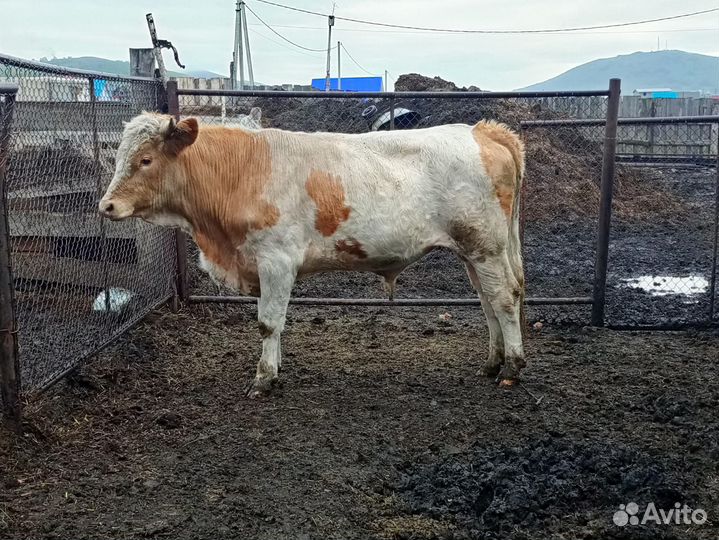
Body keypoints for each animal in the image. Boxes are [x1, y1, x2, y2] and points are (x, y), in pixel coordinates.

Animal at [99, 112, 526, 397]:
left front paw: (264, 378)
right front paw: (277, 365)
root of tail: (481, 130)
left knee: (504, 298)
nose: (106, 206)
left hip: (486, 246)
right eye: (118, 157)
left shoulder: (276, 260)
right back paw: (492, 362)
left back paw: (513, 366)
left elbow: (268, 322)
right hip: (473, 252)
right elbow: (276, 322)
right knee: (488, 302)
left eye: (146, 160)